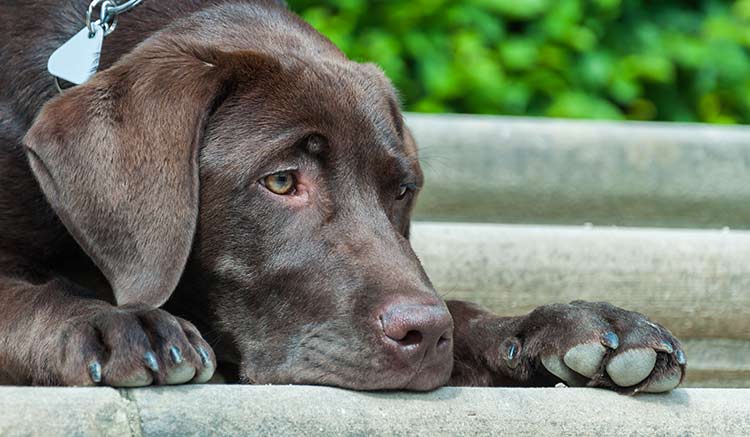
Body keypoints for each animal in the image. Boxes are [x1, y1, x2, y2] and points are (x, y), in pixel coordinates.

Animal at [0, 0, 688, 390]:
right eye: (281, 181)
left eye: (402, 190)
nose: (424, 335)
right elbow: (23, 296)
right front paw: (113, 323)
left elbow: (461, 305)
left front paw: (567, 328)